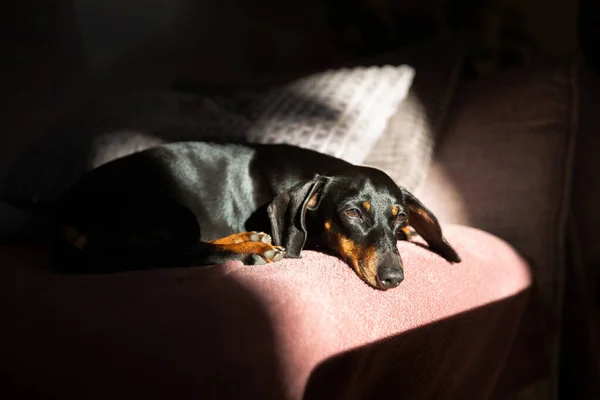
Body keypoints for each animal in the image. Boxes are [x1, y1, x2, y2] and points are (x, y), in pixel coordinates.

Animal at [55, 142, 460, 290]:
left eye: (400, 216)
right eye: (352, 213)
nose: (394, 278)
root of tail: (63, 209)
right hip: (175, 214)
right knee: (179, 252)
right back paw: (252, 249)